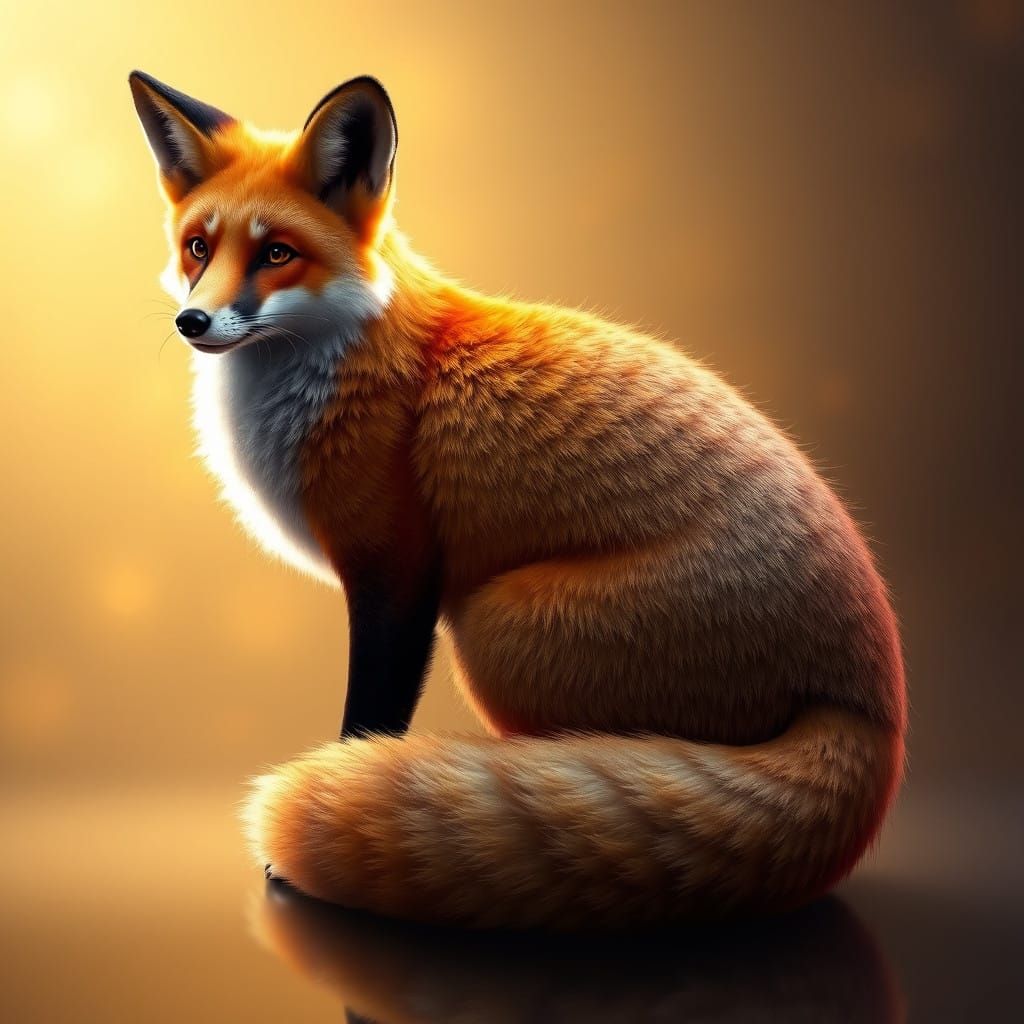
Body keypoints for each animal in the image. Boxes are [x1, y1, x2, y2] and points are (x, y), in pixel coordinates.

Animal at [130, 70, 907, 930]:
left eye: (276, 253)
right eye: (199, 246)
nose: (192, 319)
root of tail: (873, 704)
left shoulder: (397, 576)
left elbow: (368, 717)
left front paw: (334, 805)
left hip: (493, 629)